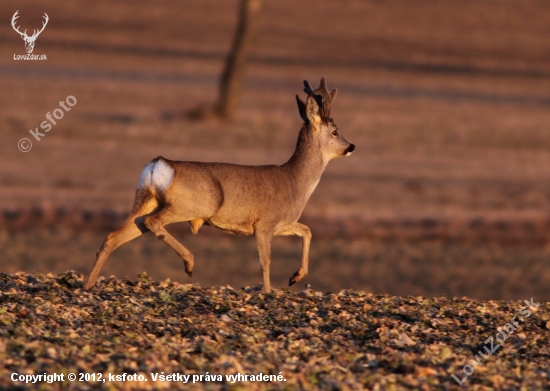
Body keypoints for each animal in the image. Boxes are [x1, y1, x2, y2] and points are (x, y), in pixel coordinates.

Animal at [84, 76, 356, 292]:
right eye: (335, 131)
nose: (351, 146)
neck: (295, 180)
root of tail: (158, 165)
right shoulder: (265, 224)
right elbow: (265, 261)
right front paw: (269, 292)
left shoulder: (284, 224)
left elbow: (307, 231)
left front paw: (295, 278)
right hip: (193, 205)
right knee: (153, 223)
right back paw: (190, 263)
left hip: (144, 201)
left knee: (114, 236)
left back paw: (88, 284)